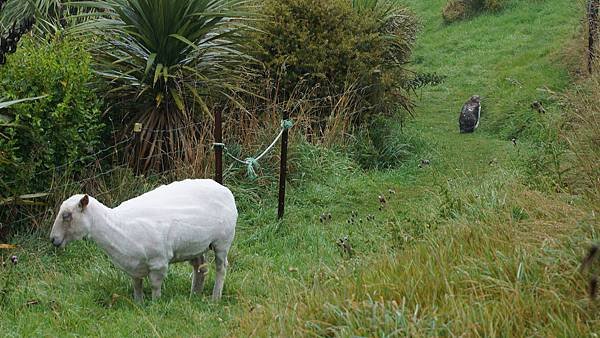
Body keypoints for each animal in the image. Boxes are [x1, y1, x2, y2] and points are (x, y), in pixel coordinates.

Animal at [49, 178, 237, 302]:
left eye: (66, 215)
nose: (53, 239)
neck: (115, 226)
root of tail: (223, 188)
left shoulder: (158, 262)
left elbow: (155, 285)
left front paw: (155, 304)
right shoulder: (134, 264)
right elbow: (136, 285)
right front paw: (138, 304)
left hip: (223, 241)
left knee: (221, 268)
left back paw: (215, 298)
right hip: (195, 245)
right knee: (200, 268)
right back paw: (194, 296)